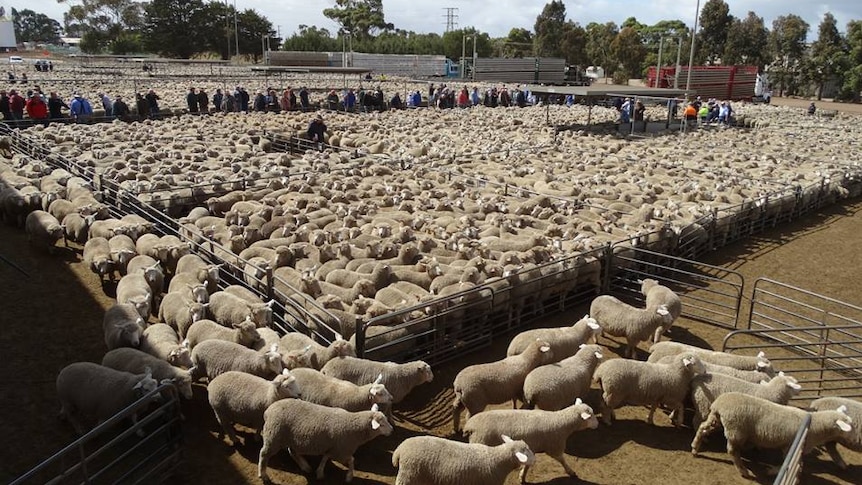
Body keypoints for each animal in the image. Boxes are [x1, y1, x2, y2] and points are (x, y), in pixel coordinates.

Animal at [256, 398, 392, 482]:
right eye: (381, 424)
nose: (391, 430)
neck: (353, 427)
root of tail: (268, 410)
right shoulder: (341, 450)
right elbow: (351, 460)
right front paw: (349, 477)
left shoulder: (333, 447)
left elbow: (325, 458)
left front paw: (319, 472)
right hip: (273, 436)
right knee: (263, 454)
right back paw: (263, 474)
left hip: (290, 438)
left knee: (292, 452)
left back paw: (305, 466)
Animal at [466, 398, 600, 482]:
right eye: (590, 416)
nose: (597, 424)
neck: (560, 422)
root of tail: (470, 425)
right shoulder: (554, 446)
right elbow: (561, 460)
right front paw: (571, 471)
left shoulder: (532, 447)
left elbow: (527, 465)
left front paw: (522, 476)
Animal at [692, 392, 852, 478]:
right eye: (846, 427)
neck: (815, 426)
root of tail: (719, 403)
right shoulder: (789, 446)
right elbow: (790, 463)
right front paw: (773, 471)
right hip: (736, 430)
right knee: (732, 451)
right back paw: (743, 471)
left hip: (717, 420)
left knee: (702, 428)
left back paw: (695, 448)